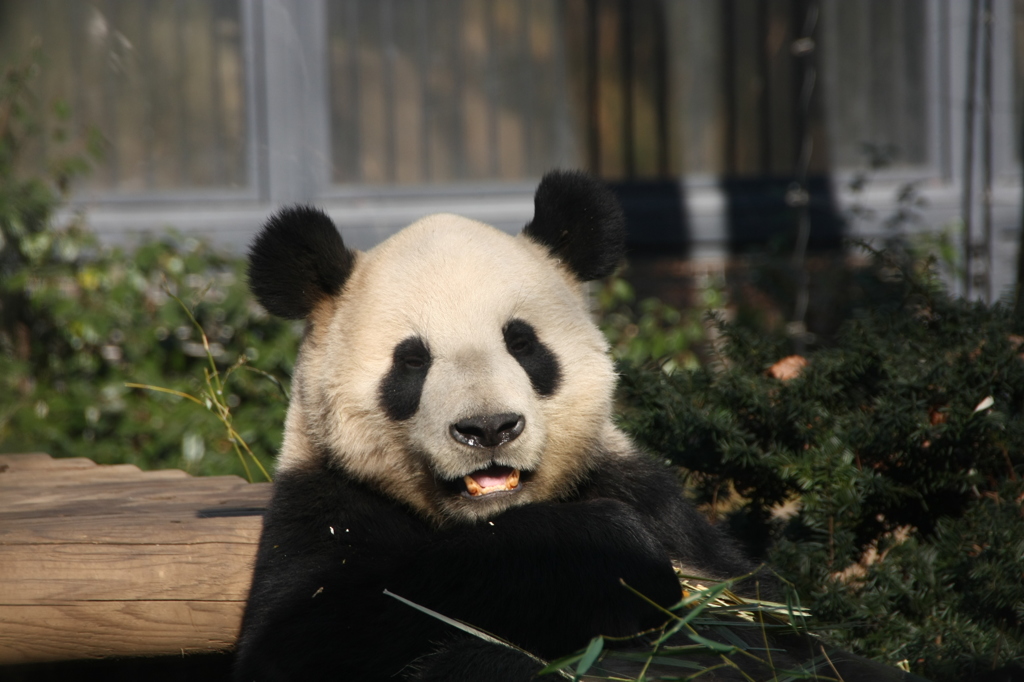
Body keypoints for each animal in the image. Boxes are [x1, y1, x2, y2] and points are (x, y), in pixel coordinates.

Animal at [234, 171, 905, 679]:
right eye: (412, 361)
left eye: (522, 343)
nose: (489, 429)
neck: (492, 520)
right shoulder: (325, 507)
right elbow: (310, 635)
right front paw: (608, 551)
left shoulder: (653, 500)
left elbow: (776, 625)